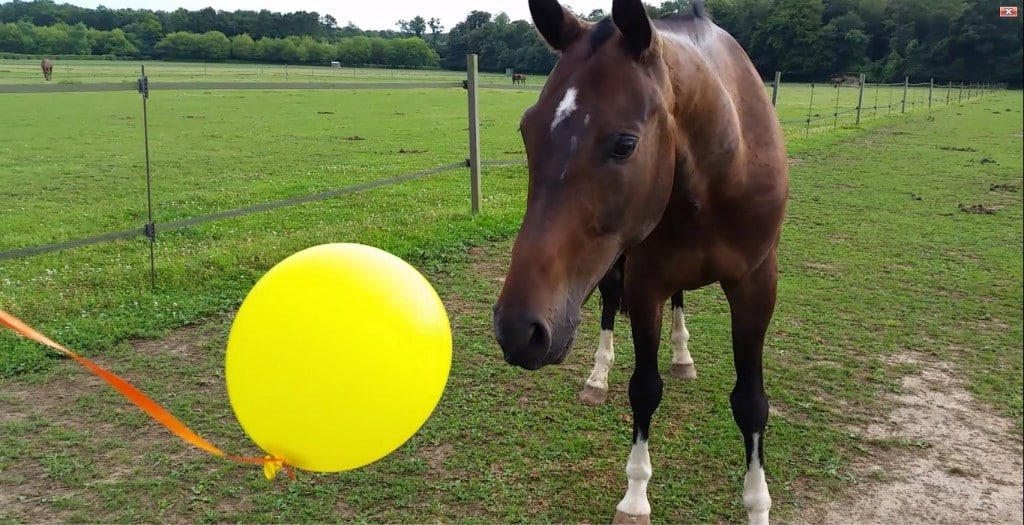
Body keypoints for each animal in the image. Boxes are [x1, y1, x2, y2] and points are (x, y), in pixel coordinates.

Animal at [491, 1, 786, 523]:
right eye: (527, 132)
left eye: (625, 144)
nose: (518, 331)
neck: (723, 164)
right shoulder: (646, 284)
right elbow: (644, 388)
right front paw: (634, 498)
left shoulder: (756, 284)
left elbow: (751, 402)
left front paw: (758, 506)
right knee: (610, 308)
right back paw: (598, 377)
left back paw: (683, 356)